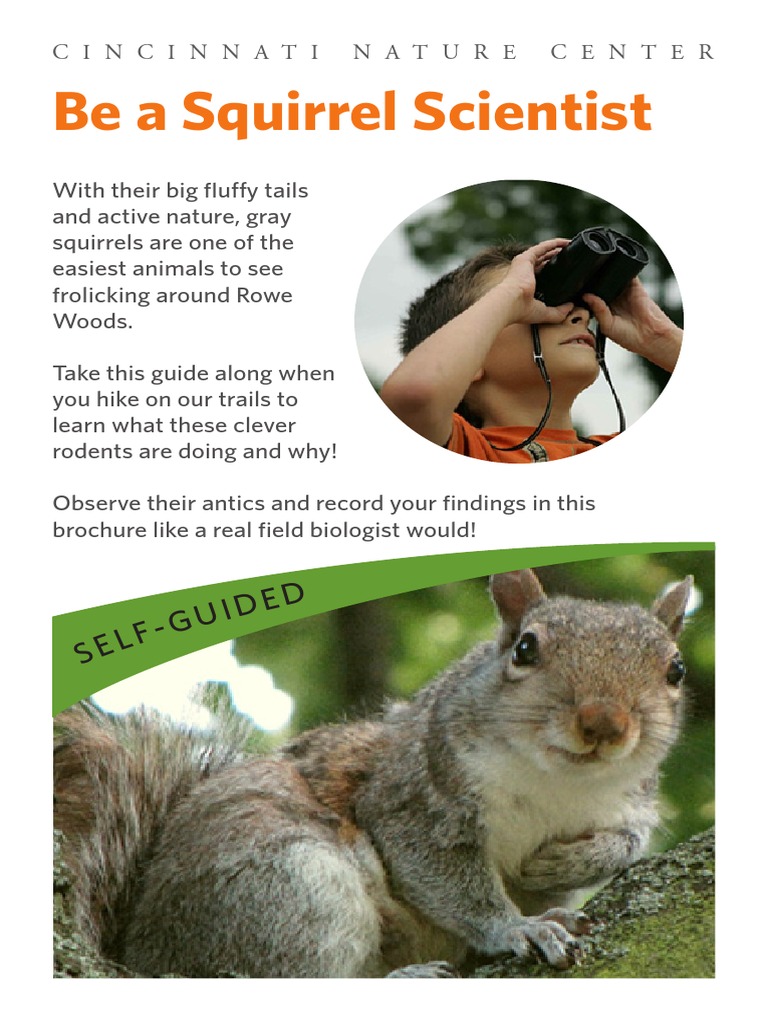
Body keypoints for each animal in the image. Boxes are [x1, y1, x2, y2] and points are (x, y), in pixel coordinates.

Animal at [54, 568, 692, 978]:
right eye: (526, 649)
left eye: (676, 670)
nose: (604, 722)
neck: (557, 782)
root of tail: (143, 956)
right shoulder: (412, 795)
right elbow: (446, 879)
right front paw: (515, 929)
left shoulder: (629, 802)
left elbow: (624, 842)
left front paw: (561, 863)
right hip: (286, 889)